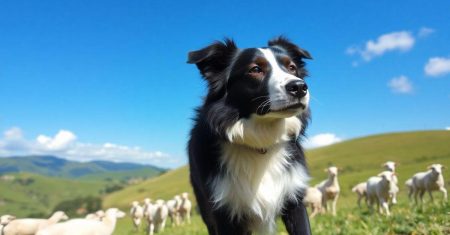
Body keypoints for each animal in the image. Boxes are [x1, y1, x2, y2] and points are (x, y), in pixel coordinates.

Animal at [188, 37, 312, 234]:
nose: (299, 87)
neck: (261, 140)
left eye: (291, 67)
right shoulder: (223, 210)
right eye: (255, 69)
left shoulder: (294, 198)